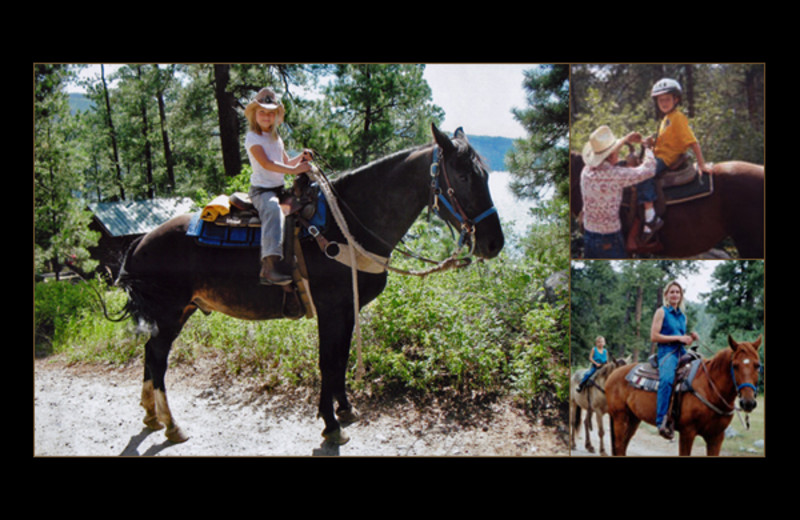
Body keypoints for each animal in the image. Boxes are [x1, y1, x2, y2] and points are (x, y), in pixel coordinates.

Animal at [114, 125, 500, 446]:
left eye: (486, 175)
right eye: (463, 176)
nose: (494, 242)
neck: (346, 226)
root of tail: (140, 241)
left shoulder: (347, 310)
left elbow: (341, 359)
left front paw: (345, 409)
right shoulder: (330, 311)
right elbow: (327, 363)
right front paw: (331, 425)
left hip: (178, 312)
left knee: (149, 355)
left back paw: (151, 415)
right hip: (168, 314)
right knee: (158, 360)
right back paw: (171, 424)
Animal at [608, 338, 764, 456]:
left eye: (757, 365)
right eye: (735, 365)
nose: (748, 403)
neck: (710, 390)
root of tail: (615, 373)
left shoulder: (716, 437)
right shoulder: (687, 433)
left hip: (633, 419)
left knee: (623, 446)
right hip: (620, 417)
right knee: (619, 446)